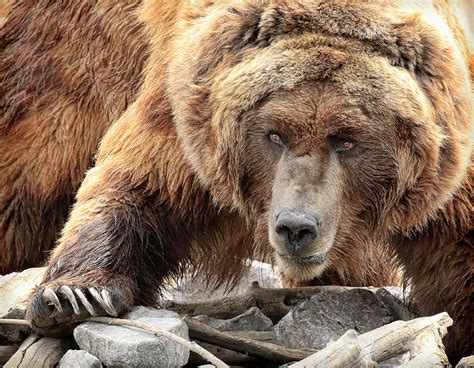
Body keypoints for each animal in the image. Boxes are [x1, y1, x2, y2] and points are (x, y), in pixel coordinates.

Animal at [1, 0, 472, 362]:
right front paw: (74, 295)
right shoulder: (189, 118)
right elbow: (138, 184)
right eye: (275, 134)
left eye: (346, 139)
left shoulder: (447, 161)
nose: (296, 227)